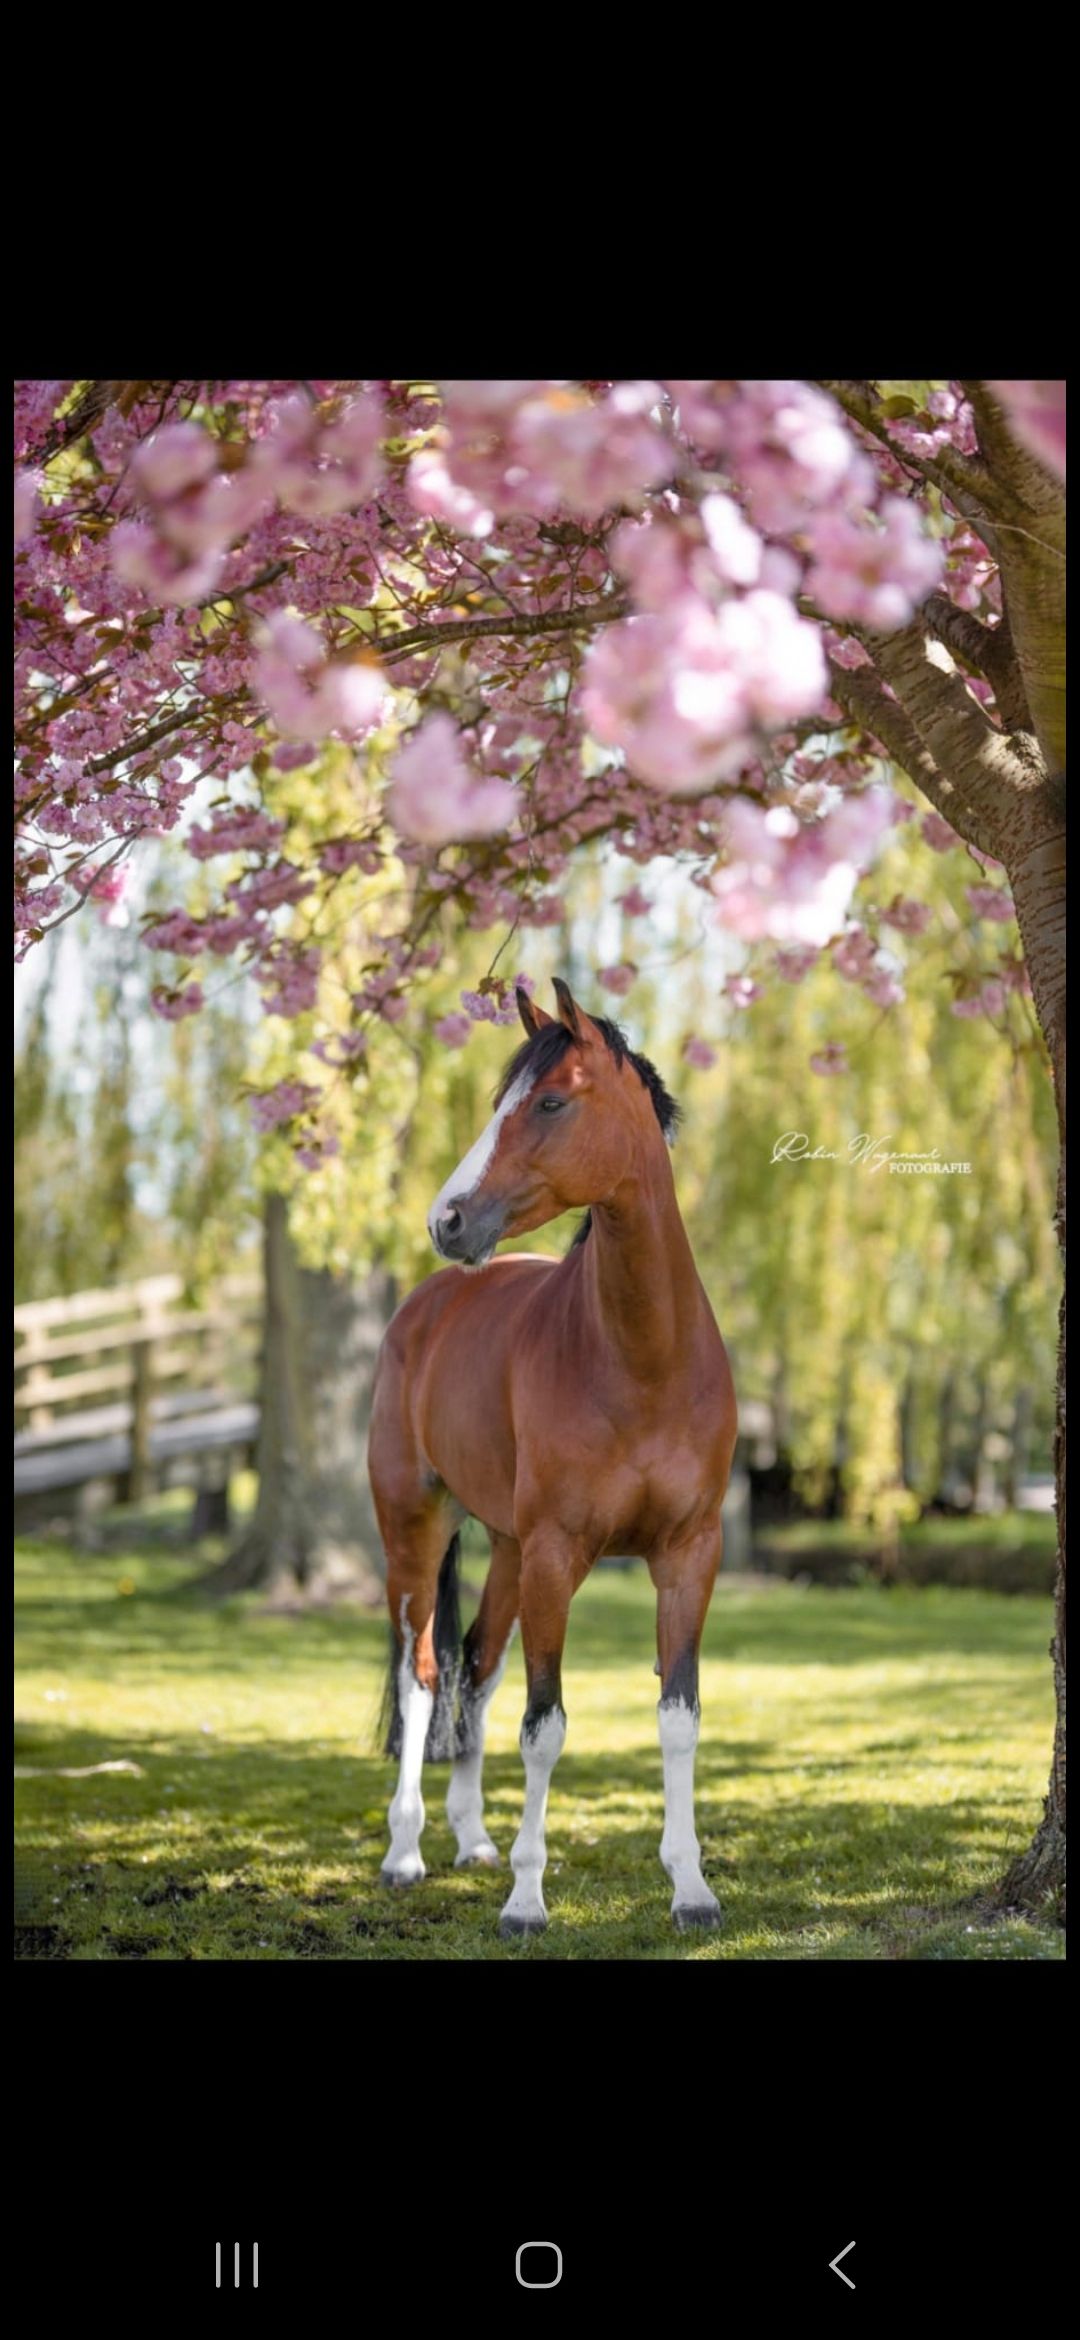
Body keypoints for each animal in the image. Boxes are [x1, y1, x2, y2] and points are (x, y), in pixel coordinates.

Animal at [368, 977, 738, 1936]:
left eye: (549, 1102)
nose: (447, 1219)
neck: (639, 1360)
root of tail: (427, 1303)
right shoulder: (556, 1555)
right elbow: (546, 1724)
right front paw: (528, 1899)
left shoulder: (688, 1556)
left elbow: (677, 1715)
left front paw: (691, 1886)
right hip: (417, 1531)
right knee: (423, 1673)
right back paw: (406, 1851)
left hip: (502, 1549)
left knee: (473, 1667)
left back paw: (470, 1840)